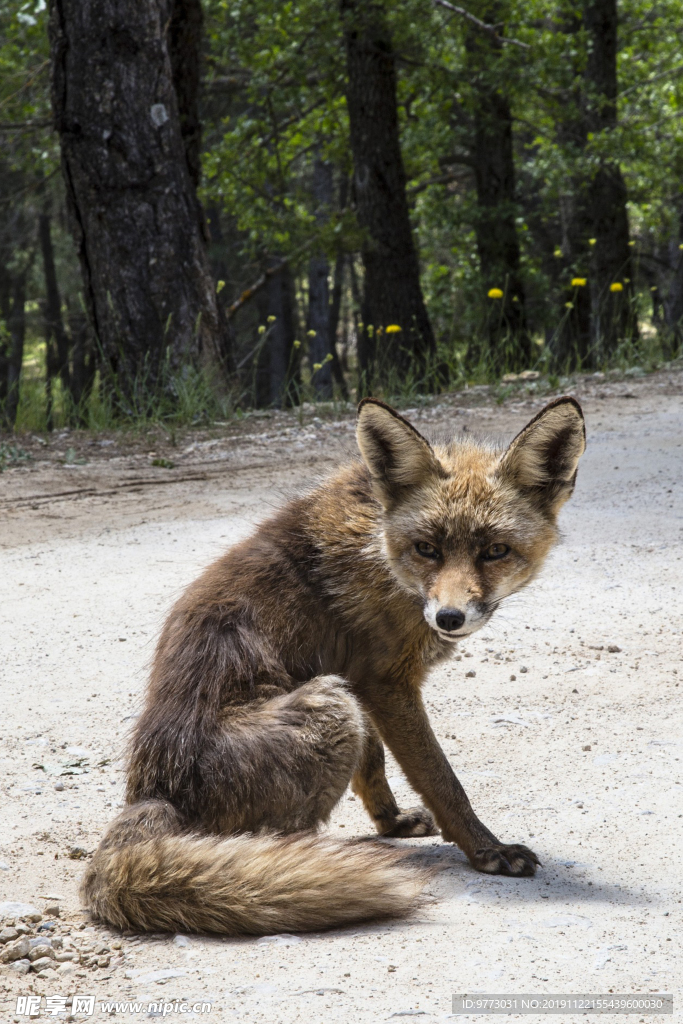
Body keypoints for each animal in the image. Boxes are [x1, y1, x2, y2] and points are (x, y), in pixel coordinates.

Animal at [82, 393, 589, 937]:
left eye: (495, 551)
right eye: (427, 549)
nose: (448, 618)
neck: (380, 547)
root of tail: (151, 792)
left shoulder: (364, 683)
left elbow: (375, 766)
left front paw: (391, 822)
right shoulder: (385, 684)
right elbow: (442, 781)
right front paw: (487, 851)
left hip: (338, 699)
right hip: (331, 707)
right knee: (271, 839)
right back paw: (295, 871)